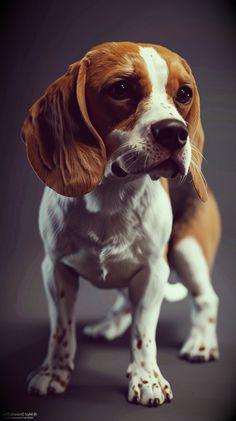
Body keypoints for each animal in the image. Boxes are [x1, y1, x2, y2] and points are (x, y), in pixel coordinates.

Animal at [21, 41, 220, 404]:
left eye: (184, 93)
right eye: (121, 89)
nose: (176, 132)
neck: (112, 196)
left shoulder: (154, 270)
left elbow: (144, 332)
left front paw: (147, 378)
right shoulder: (55, 270)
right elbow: (61, 331)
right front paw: (53, 372)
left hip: (186, 250)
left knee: (206, 299)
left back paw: (200, 343)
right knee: (126, 299)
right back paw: (109, 325)